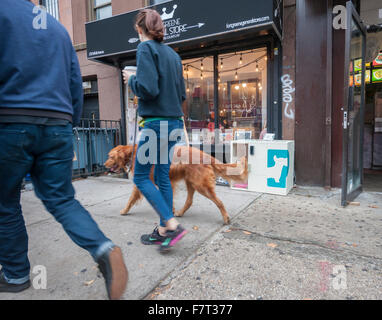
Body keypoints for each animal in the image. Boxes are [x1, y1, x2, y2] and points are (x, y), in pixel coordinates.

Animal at [104, 145, 248, 225]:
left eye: (110, 157)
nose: (104, 165)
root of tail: (206, 155)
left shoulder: (143, 182)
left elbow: (130, 200)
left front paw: (124, 210)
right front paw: (171, 211)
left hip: (200, 185)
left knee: (219, 202)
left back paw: (226, 218)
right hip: (191, 182)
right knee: (189, 201)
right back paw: (180, 213)